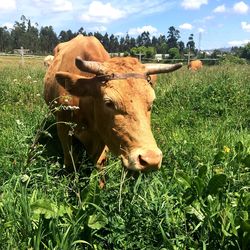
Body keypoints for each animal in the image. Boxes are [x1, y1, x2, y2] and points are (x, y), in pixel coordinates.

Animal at [44, 34, 182, 172]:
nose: (151, 159)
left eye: (151, 102)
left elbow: (99, 164)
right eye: (108, 102)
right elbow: (69, 162)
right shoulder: (62, 128)